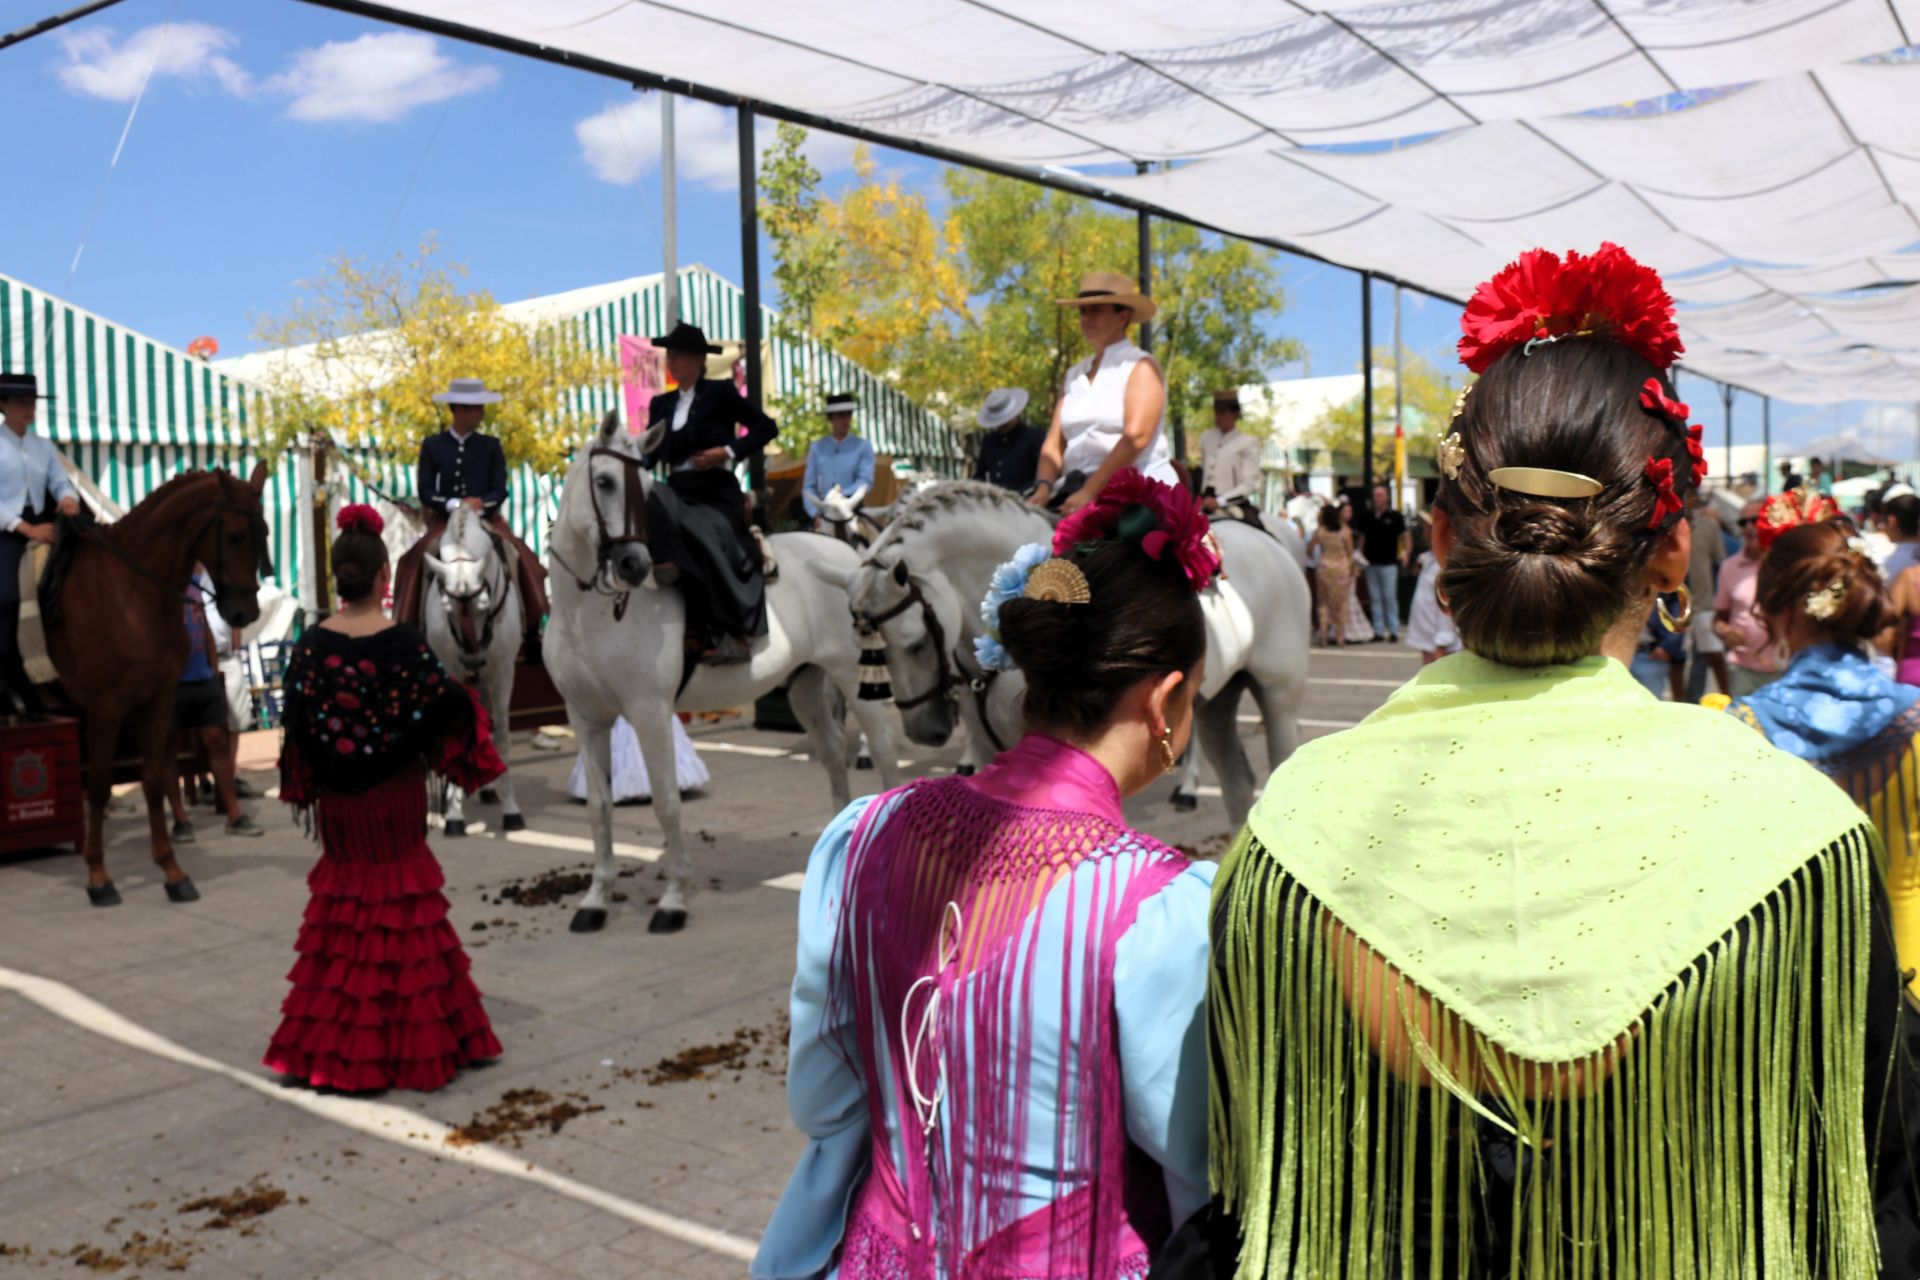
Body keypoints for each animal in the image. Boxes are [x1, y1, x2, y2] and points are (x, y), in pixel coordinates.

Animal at [48, 466, 274, 905]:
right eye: (235, 535)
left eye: (265, 534)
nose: (245, 613)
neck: (132, 592)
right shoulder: (106, 708)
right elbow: (99, 786)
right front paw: (98, 876)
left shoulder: (156, 701)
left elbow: (154, 779)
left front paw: (172, 872)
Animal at [422, 506, 526, 836]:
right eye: (447, 606)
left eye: (484, 604)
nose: (473, 661)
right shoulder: (452, 672)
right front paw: (454, 815)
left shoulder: (503, 673)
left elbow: (502, 736)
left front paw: (511, 810)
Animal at [541, 416, 898, 936]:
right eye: (604, 482)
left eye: (646, 487)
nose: (634, 565)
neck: (588, 614)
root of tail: (850, 559)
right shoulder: (585, 718)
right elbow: (598, 807)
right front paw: (595, 900)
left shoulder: (649, 713)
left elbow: (667, 801)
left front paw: (673, 900)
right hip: (807, 684)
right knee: (833, 754)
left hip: (854, 678)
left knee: (886, 755)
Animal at [833, 483, 1313, 832]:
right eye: (870, 649)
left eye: (915, 642)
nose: (925, 731)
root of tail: (1271, 541)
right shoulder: (992, 753)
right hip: (1218, 702)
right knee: (1238, 785)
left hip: (1279, 695)